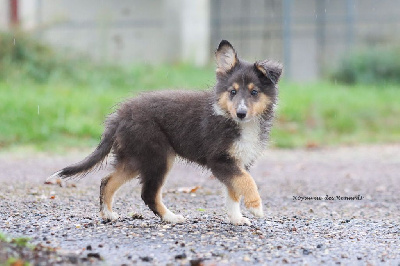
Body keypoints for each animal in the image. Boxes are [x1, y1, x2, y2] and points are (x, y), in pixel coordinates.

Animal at [49, 40, 282, 225]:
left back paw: (108, 214)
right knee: (148, 193)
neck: (237, 122)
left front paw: (236, 219)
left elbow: (233, 191)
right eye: (232, 92)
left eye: (254, 92)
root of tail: (120, 115)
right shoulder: (220, 160)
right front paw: (255, 207)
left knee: (107, 180)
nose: (241, 113)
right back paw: (171, 217)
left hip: (135, 157)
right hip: (157, 156)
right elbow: (245, 181)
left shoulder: (238, 161)